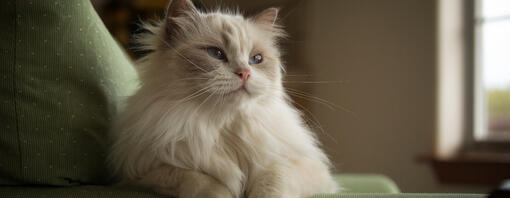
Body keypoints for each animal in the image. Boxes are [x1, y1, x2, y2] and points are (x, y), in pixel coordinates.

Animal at [107, 0, 338, 197]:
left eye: (256, 59)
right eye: (216, 53)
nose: (245, 73)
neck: (225, 127)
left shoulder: (304, 166)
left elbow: (273, 181)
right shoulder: (146, 173)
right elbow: (206, 184)